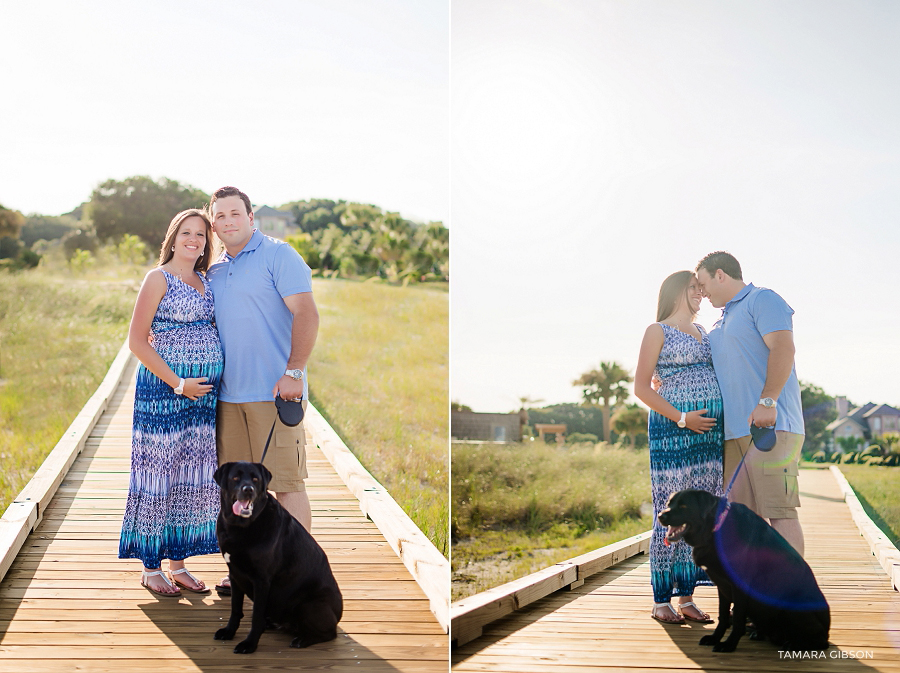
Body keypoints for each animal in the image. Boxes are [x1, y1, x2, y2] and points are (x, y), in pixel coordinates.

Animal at [213, 460, 342, 652]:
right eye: (235, 477)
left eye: (256, 479)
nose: (248, 489)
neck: (242, 525)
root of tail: (338, 615)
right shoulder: (235, 574)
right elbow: (235, 609)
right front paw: (229, 632)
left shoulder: (262, 580)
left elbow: (256, 616)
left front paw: (249, 644)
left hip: (308, 604)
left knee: (330, 634)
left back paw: (301, 640)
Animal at [652, 488, 828, 652]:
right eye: (669, 504)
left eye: (684, 506)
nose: (660, 516)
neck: (715, 529)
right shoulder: (722, 586)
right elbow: (723, 616)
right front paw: (715, 638)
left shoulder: (739, 587)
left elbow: (736, 619)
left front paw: (729, 645)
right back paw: (760, 634)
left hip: (792, 607)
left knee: (819, 643)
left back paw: (792, 644)